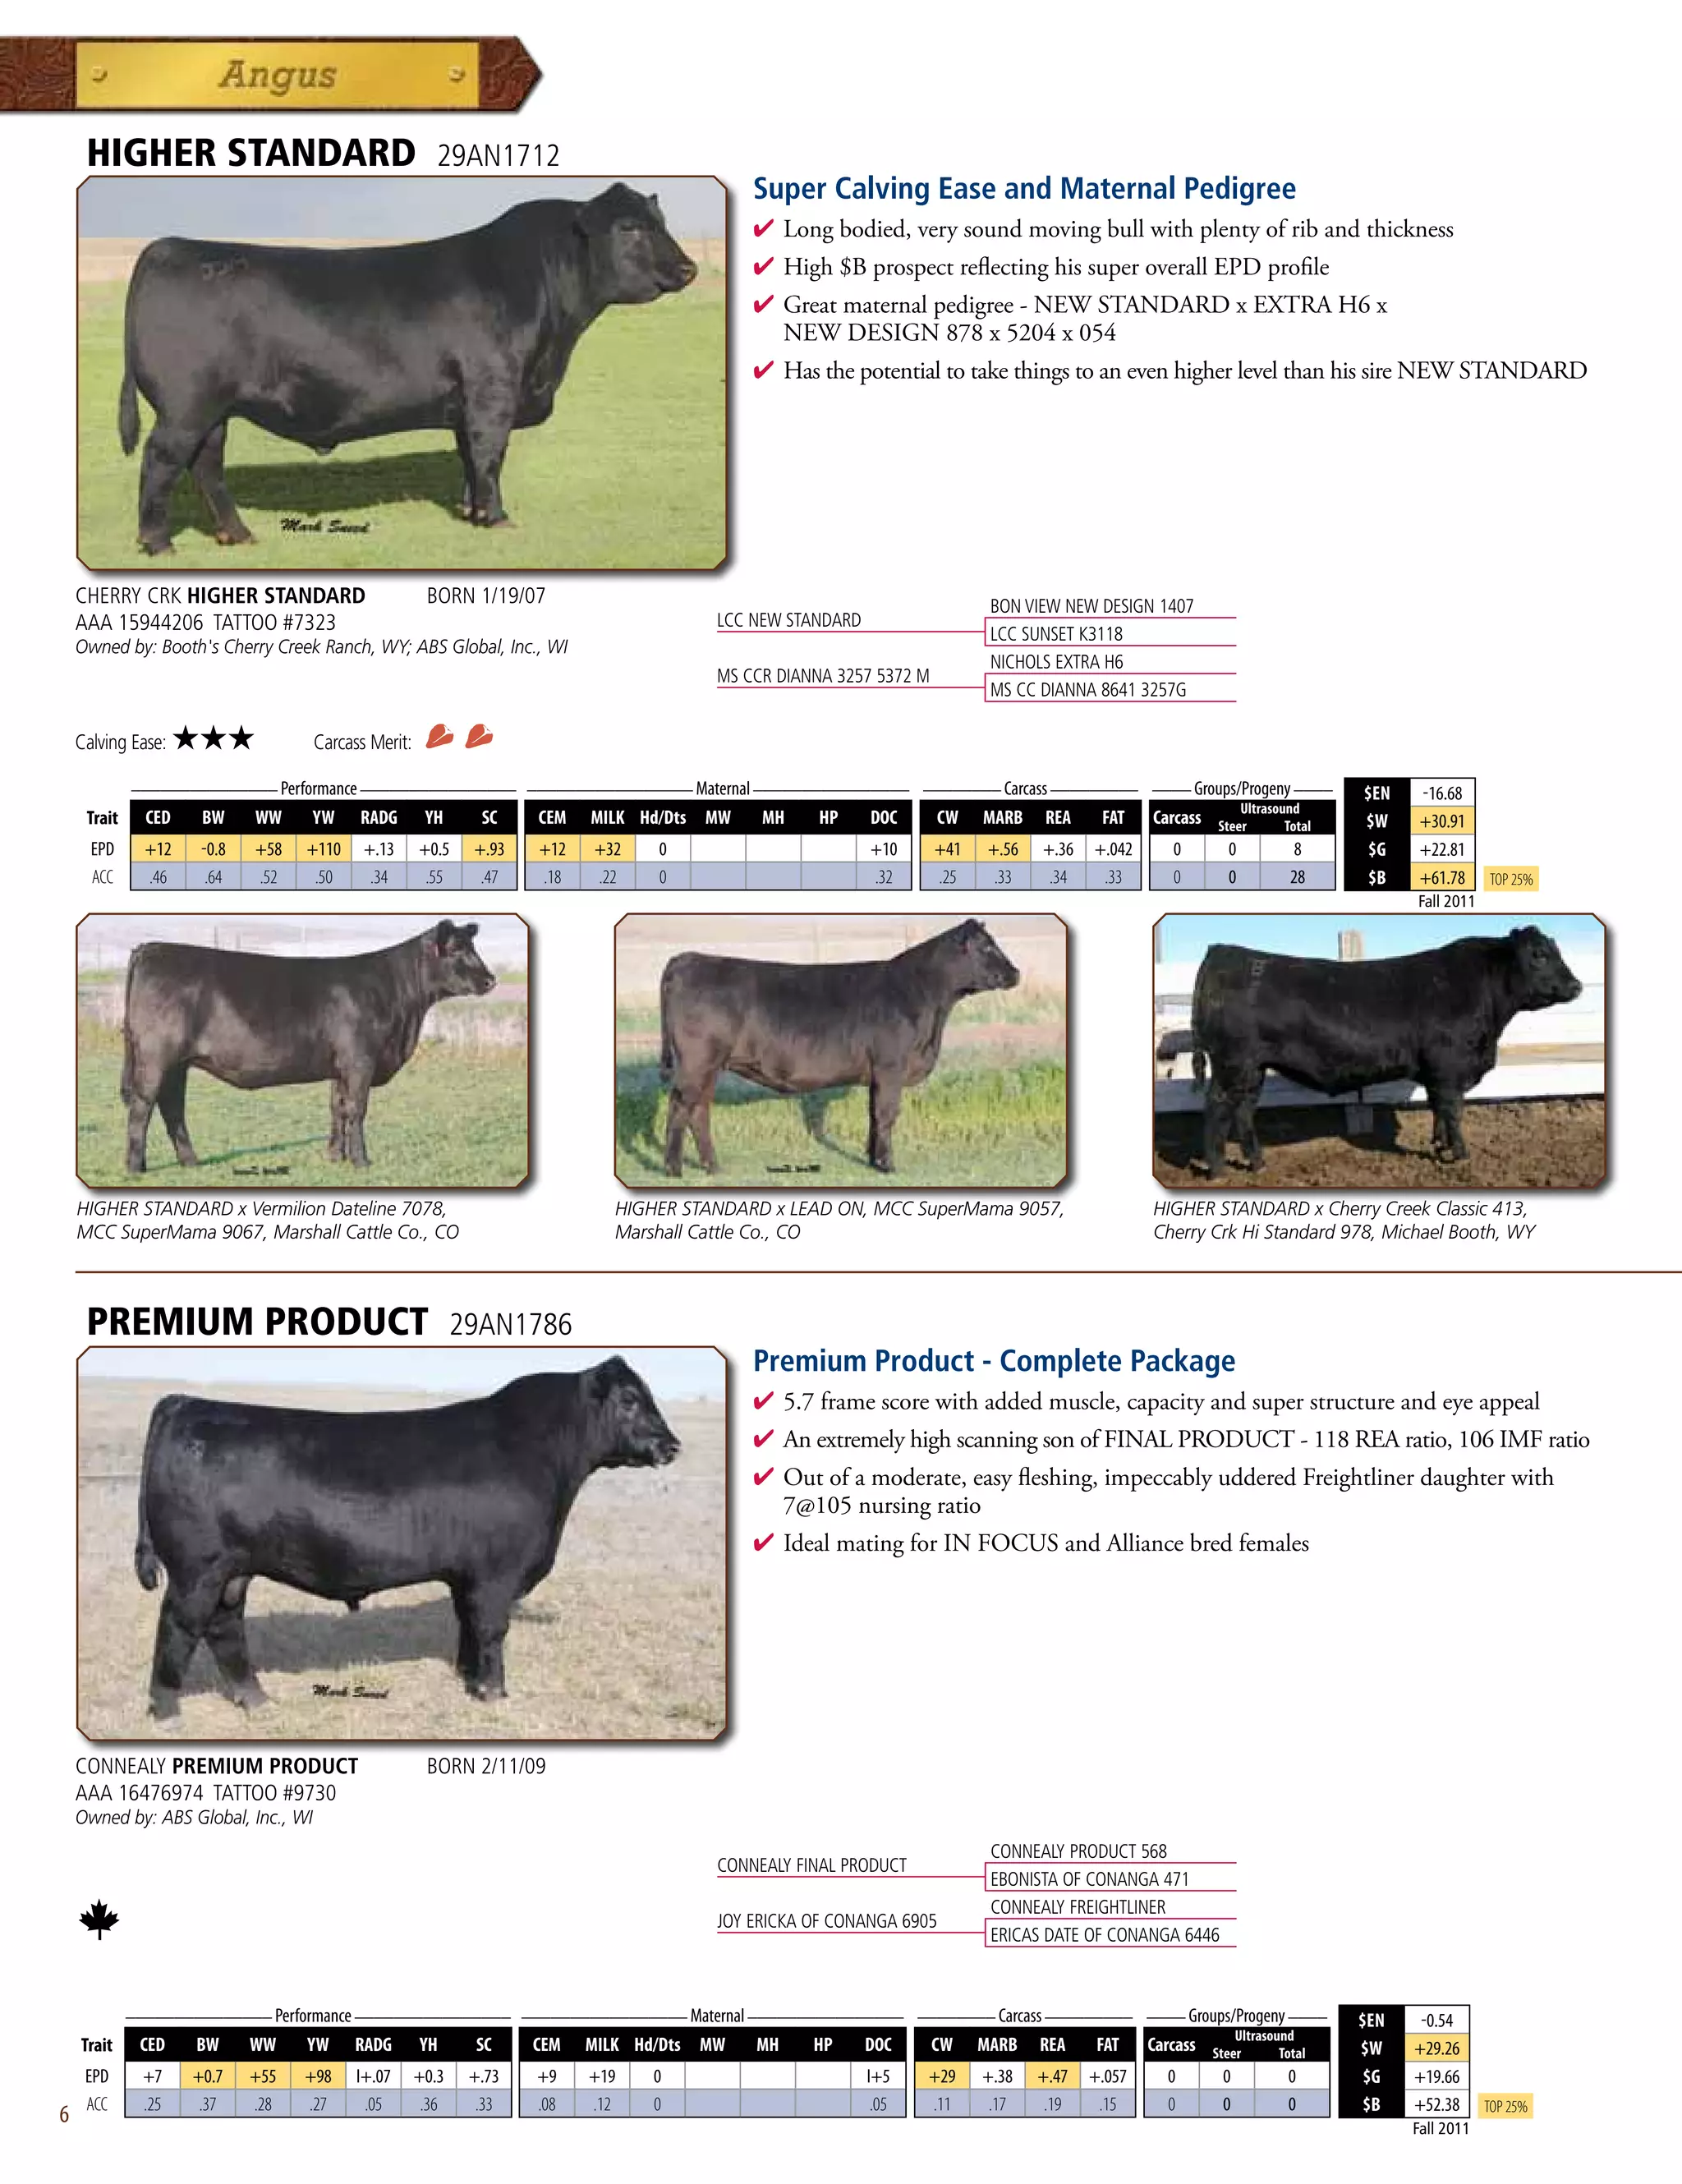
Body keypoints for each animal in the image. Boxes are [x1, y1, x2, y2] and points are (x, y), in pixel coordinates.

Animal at [117, 183, 699, 554]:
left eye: (661, 223)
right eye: (629, 228)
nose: (689, 267)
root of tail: (170, 246)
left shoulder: (467, 403)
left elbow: (469, 459)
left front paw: (474, 514)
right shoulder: (493, 391)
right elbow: (490, 456)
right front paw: (499, 520)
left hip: (215, 409)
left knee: (206, 466)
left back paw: (237, 536)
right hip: (187, 406)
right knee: (161, 460)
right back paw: (158, 544)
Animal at [120, 918, 495, 1174]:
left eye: (472, 946)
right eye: (458, 949)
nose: (491, 980)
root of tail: (149, 948)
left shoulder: (340, 1066)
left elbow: (337, 1109)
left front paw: (335, 1157)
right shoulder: (360, 1060)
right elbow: (357, 1110)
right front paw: (361, 1161)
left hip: (177, 1063)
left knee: (171, 1106)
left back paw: (190, 1162)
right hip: (156, 1056)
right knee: (143, 1106)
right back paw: (135, 1168)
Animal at [132, 1358, 681, 1717]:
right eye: (630, 1400)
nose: (672, 1445)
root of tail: (185, 1402)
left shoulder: (467, 1575)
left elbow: (468, 1625)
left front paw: (469, 1679)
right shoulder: (497, 1574)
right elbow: (492, 1630)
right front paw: (494, 1695)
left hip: (233, 1571)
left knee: (224, 1628)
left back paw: (257, 1702)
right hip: (198, 1569)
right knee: (178, 1625)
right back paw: (167, 1712)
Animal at [659, 918, 1022, 1176]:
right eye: (987, 948)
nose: (1016, 973)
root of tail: (687, 958)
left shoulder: (878, 1074)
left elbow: (874, 1115)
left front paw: (873, 1160)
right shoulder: (891, 1066)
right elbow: (887, 1114)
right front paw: (888, 1166)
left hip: (710, 1066)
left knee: (699, 1110)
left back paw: (713, 1167)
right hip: (698, 1061)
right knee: (680, 1106)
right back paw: (674, 1169)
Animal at [1182, 927, 1584, 1177]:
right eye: (1538, 955)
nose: (1576, 985)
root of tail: (1221, 951)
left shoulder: (1437, 1074)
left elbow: (1439, 1112)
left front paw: (1440, 1149)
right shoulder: (1449, 1068)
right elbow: (1453, 1112)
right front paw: (1461, 1156)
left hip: (1252, 1070)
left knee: (1243, 1112)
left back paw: (1257, 1163)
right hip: (1232, 1064)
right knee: (1217, 1108)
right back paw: (1217, 1171)